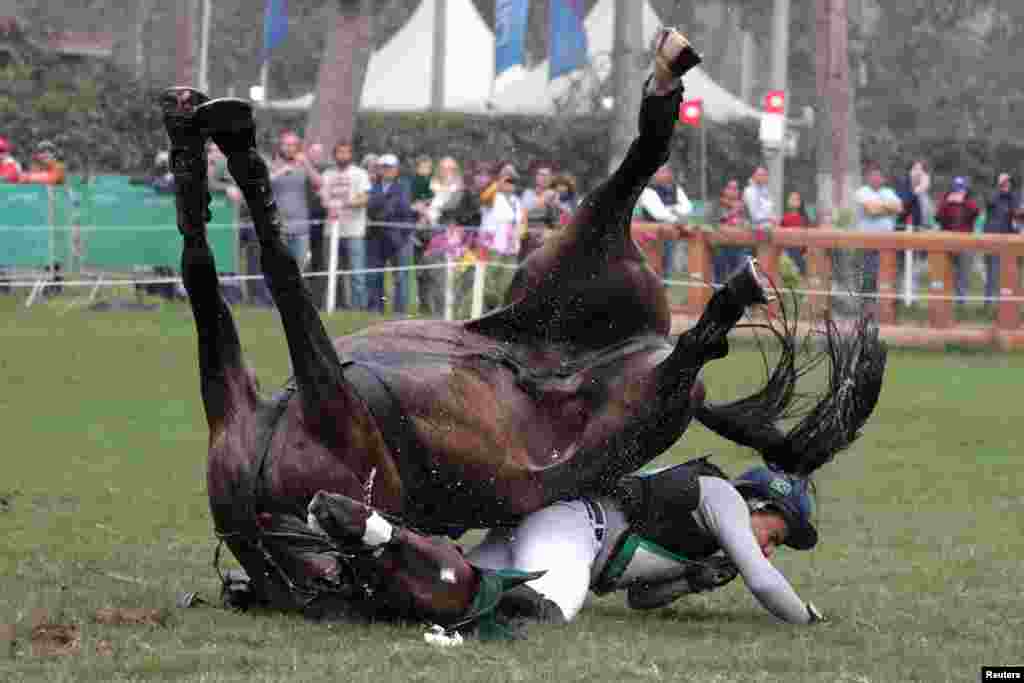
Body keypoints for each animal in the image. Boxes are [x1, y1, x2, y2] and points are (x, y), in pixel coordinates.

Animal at [163, 30, 778, 618]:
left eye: (438, 573)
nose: (341, 521)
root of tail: (641, 344)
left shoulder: (334, 413)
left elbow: (276, 273)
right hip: (592, 297)